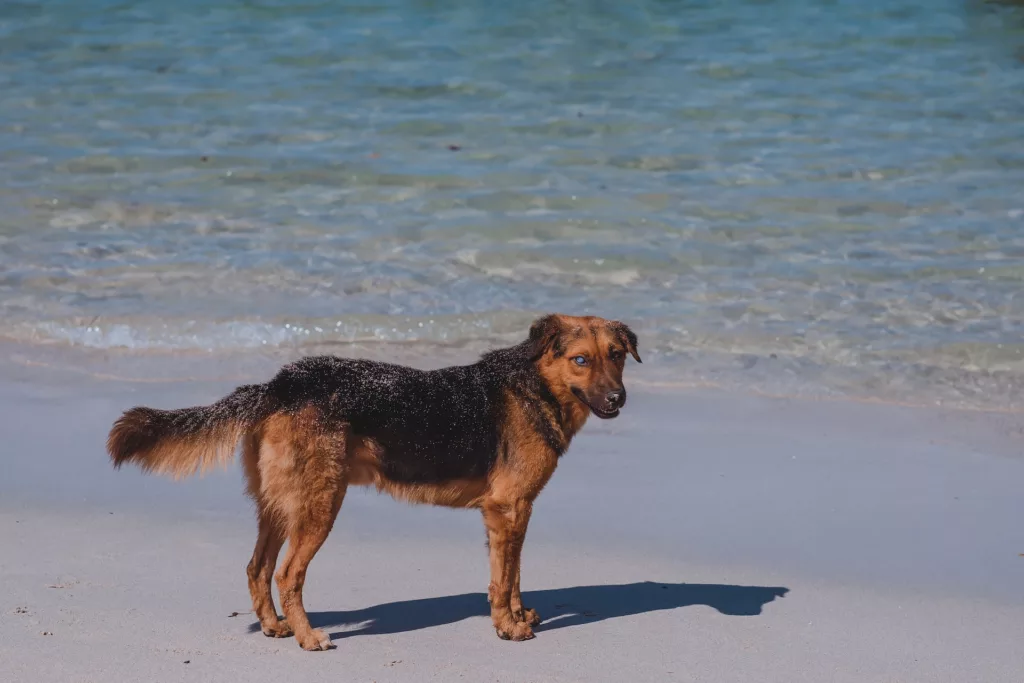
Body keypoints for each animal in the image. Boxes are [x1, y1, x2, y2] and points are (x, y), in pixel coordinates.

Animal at [108, 315, 643, 651]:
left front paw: (520, 614)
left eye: (616, 355)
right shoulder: (507, 509)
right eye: (581, 360)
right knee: (287, 575)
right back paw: (308, 638)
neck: (535, 386)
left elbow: (512, 577)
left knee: (257, 569)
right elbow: (502, 579)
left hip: (280, 506)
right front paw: (508, 628)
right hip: (321, 506)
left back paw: (275, 627)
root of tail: (280, 384)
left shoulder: (517, 512)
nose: (618, 400)